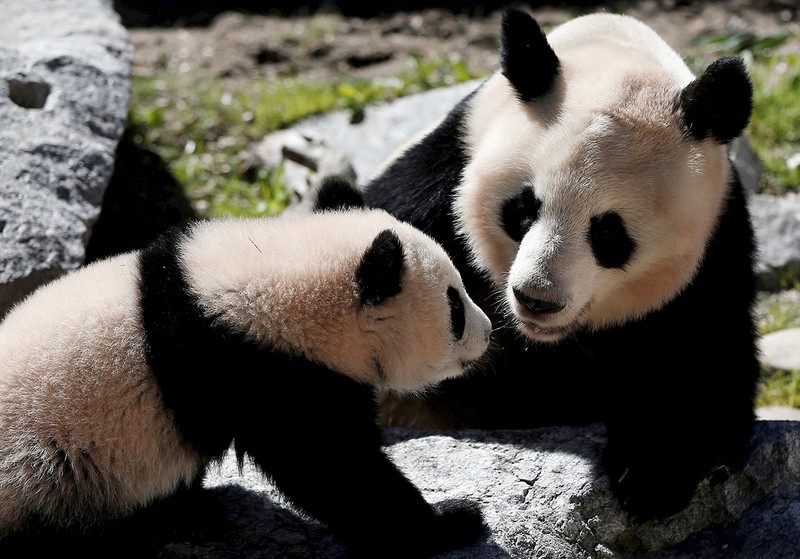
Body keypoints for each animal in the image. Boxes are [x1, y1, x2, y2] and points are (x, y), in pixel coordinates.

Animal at [0, 177, 491, 558]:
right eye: (455, 306)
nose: (488, 333)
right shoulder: (259, 369)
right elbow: (332, 467)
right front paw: (452, 520)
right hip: (41, 476)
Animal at [363, 9, 759, 521]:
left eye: (609, 233)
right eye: (523, 208)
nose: (536, 299)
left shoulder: (714, 253)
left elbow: (710, 372)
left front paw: (647, 479)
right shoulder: (434, 182)